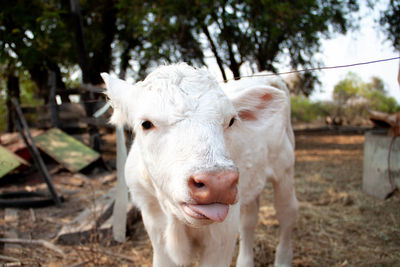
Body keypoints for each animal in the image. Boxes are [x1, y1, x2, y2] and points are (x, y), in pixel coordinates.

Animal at [101, 63, 298, 266]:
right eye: (146, 124)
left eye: (231, 121)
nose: (218, 182)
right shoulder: (156, 229)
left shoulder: (223, 235)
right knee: (249, 220)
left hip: (284, 169)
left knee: (287, 213)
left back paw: (283, 259)